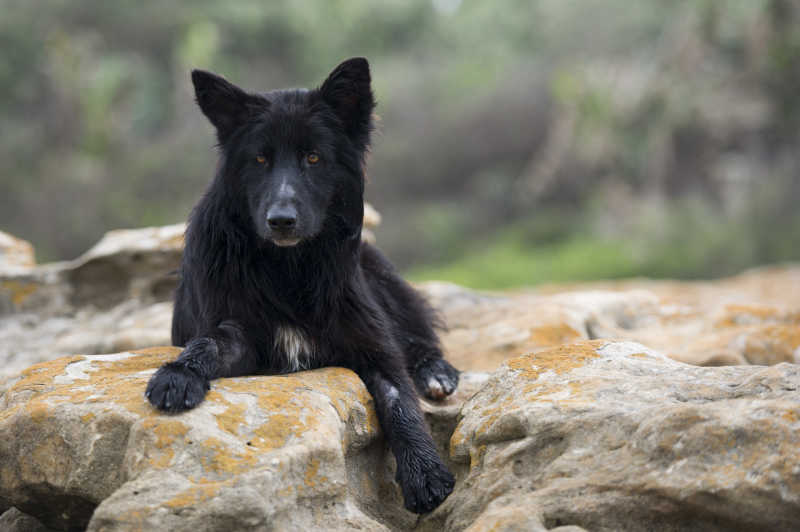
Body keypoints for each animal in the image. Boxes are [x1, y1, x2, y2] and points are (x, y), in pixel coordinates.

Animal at [143, 59, 456, 516]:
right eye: (259, 158)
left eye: (313, 157)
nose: (281, 221)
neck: (288, 269)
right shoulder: (242, 334)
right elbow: (210, 343)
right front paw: (180, 374)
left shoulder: (372, 344)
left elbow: (399, 399)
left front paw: (424, 470)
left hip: (380, 272)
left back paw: (436, 371)